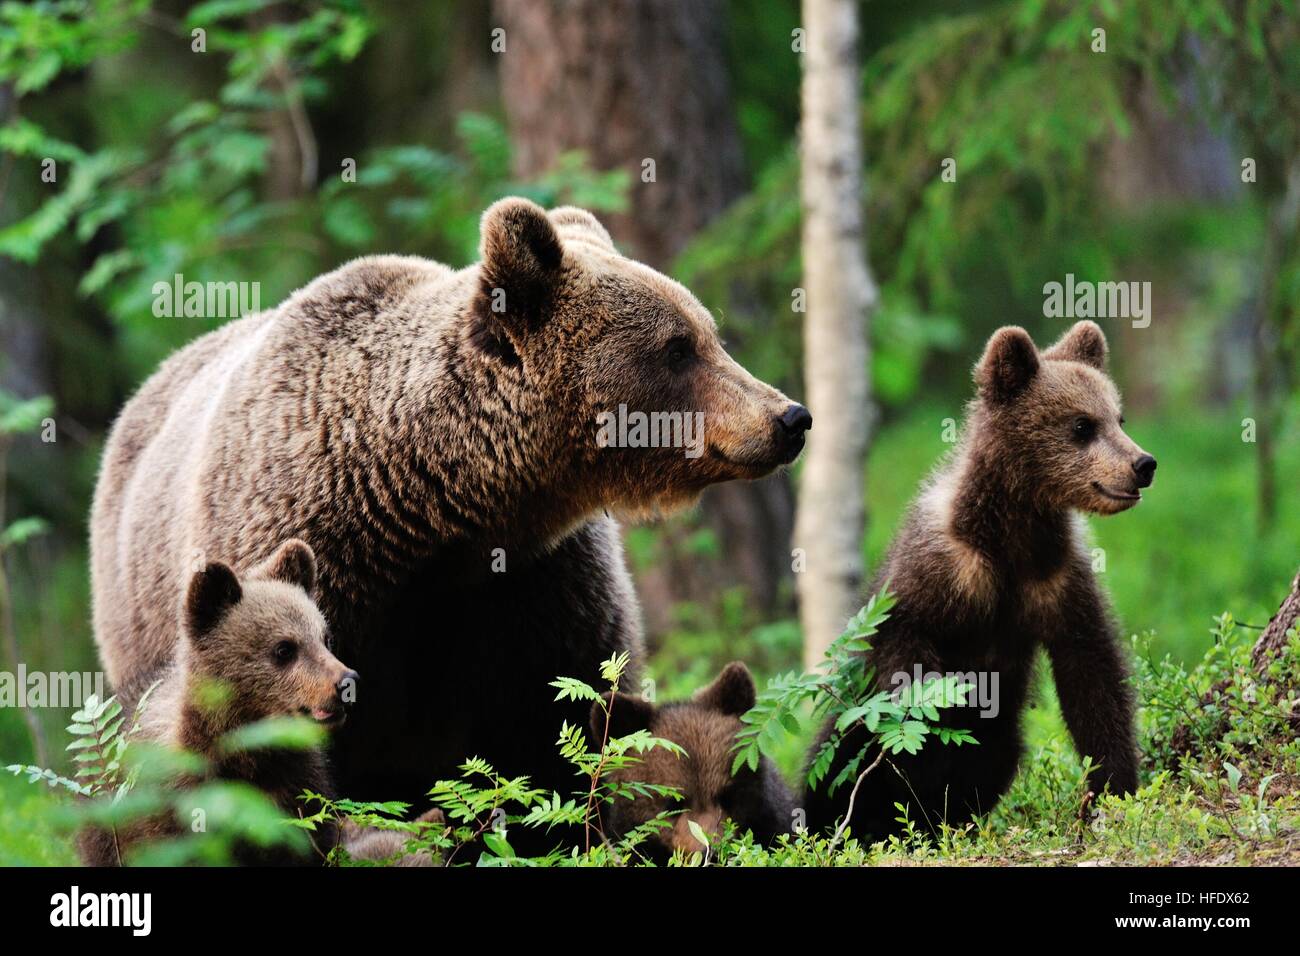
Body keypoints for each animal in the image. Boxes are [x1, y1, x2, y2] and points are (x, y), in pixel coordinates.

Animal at [801, 321, 1153, 841]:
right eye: (1082, 425)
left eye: (1119, 418)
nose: (1142, 464)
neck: (1011, 533)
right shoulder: (941, 571)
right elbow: (907, 664)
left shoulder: (1056, 579)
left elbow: (1093, 678)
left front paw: (1112, 788)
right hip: (851, 722)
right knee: (836, 766)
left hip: (1000, 734)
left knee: (997, 756)